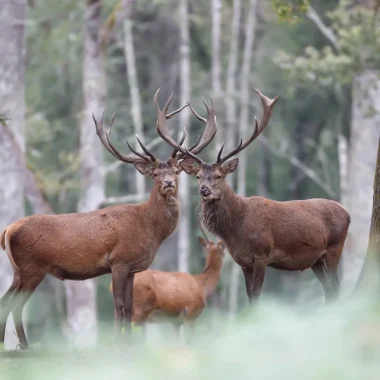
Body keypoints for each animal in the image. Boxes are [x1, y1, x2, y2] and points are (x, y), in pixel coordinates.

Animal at [0, 88, 215, 348]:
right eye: (155, 173)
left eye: (175, 171)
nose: (168, 183)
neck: (150, 228)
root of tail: (8, 230)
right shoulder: (119, 260)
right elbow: (119, 305)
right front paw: (117, 344)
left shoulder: (133, 267)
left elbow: (129, 306)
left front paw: (128, 344)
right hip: (32, 266)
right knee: (16, 303)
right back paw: (24, 345)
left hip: (18, 270)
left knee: (5, 300)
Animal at [180, 87, 352, 304]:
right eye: (198, 176)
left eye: (219, 176)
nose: (204, 190)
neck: (236, 227)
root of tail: (348, 213)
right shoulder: (243, 262)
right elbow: (249, 296)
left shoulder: (262, 255)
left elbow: (257, 294)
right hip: (316, 260)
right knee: (329, 289)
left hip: (334, 248)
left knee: (336, 287)